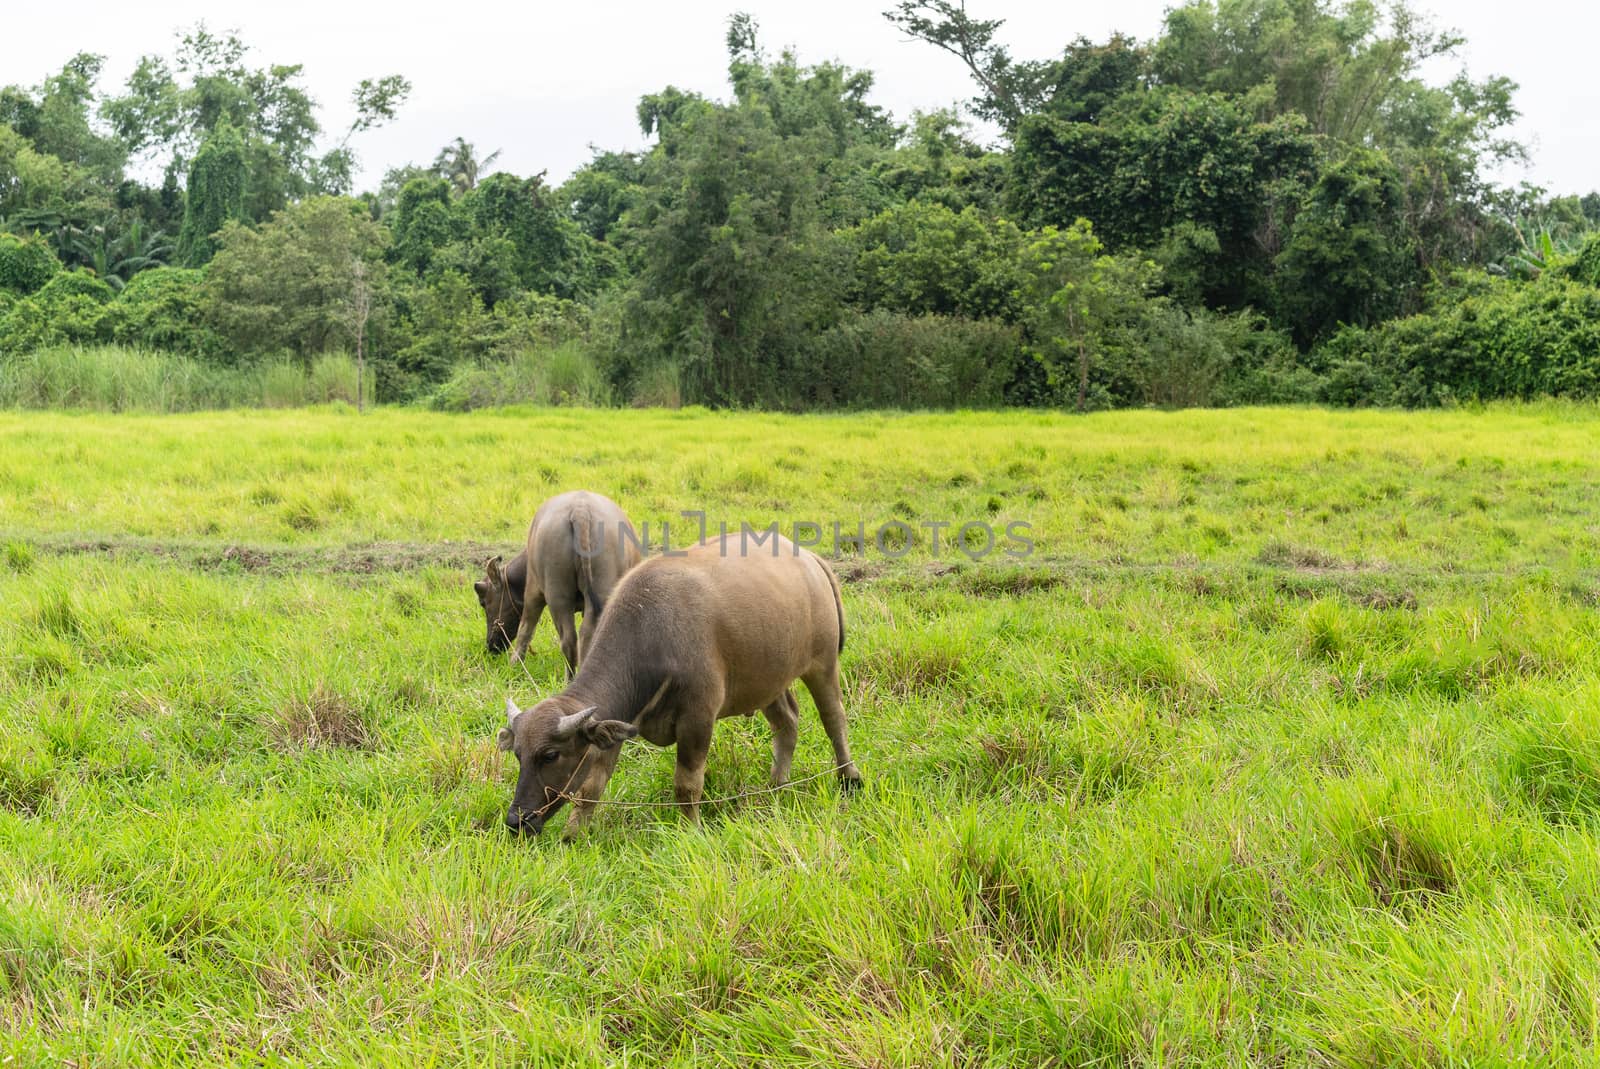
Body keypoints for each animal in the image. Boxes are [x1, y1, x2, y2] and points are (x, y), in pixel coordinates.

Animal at [473, 489, 643, 672]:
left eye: (483, 602)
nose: (491, 645)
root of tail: (580, 511)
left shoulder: (532, 591)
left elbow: (525, 629)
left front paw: (514, 666)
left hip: (556, 594)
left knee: (568, 641)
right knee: (585, 635)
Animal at [496, 531, 864, 832]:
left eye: (550, 755)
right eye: (518, 754)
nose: (517, 820)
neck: (651, 635)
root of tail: (811, 560)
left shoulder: (697, 719)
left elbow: (687, 785)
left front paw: (692, 830)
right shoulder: (615, 725)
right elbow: (591, 787)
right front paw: (573, 835)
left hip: (823, 664)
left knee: (834, 719)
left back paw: (849, 777)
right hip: (768, 679)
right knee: (787, 722)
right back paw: (776, 786)